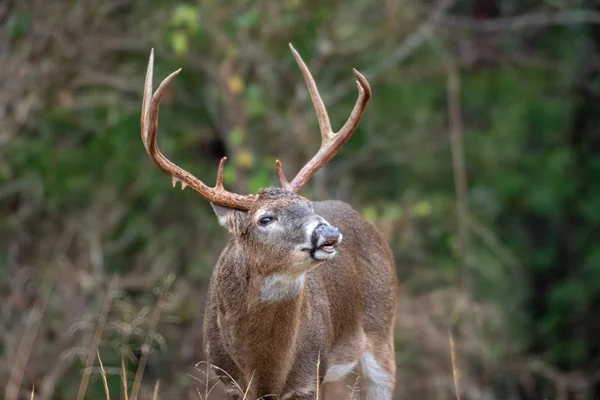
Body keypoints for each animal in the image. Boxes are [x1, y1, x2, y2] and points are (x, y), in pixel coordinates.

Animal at [141, 44, 398, 400]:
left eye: (307, 205)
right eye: (265, 218)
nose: (328, 232)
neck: (265, 369)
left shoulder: (309, 378)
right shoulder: (230, 382)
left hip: (382, 330)